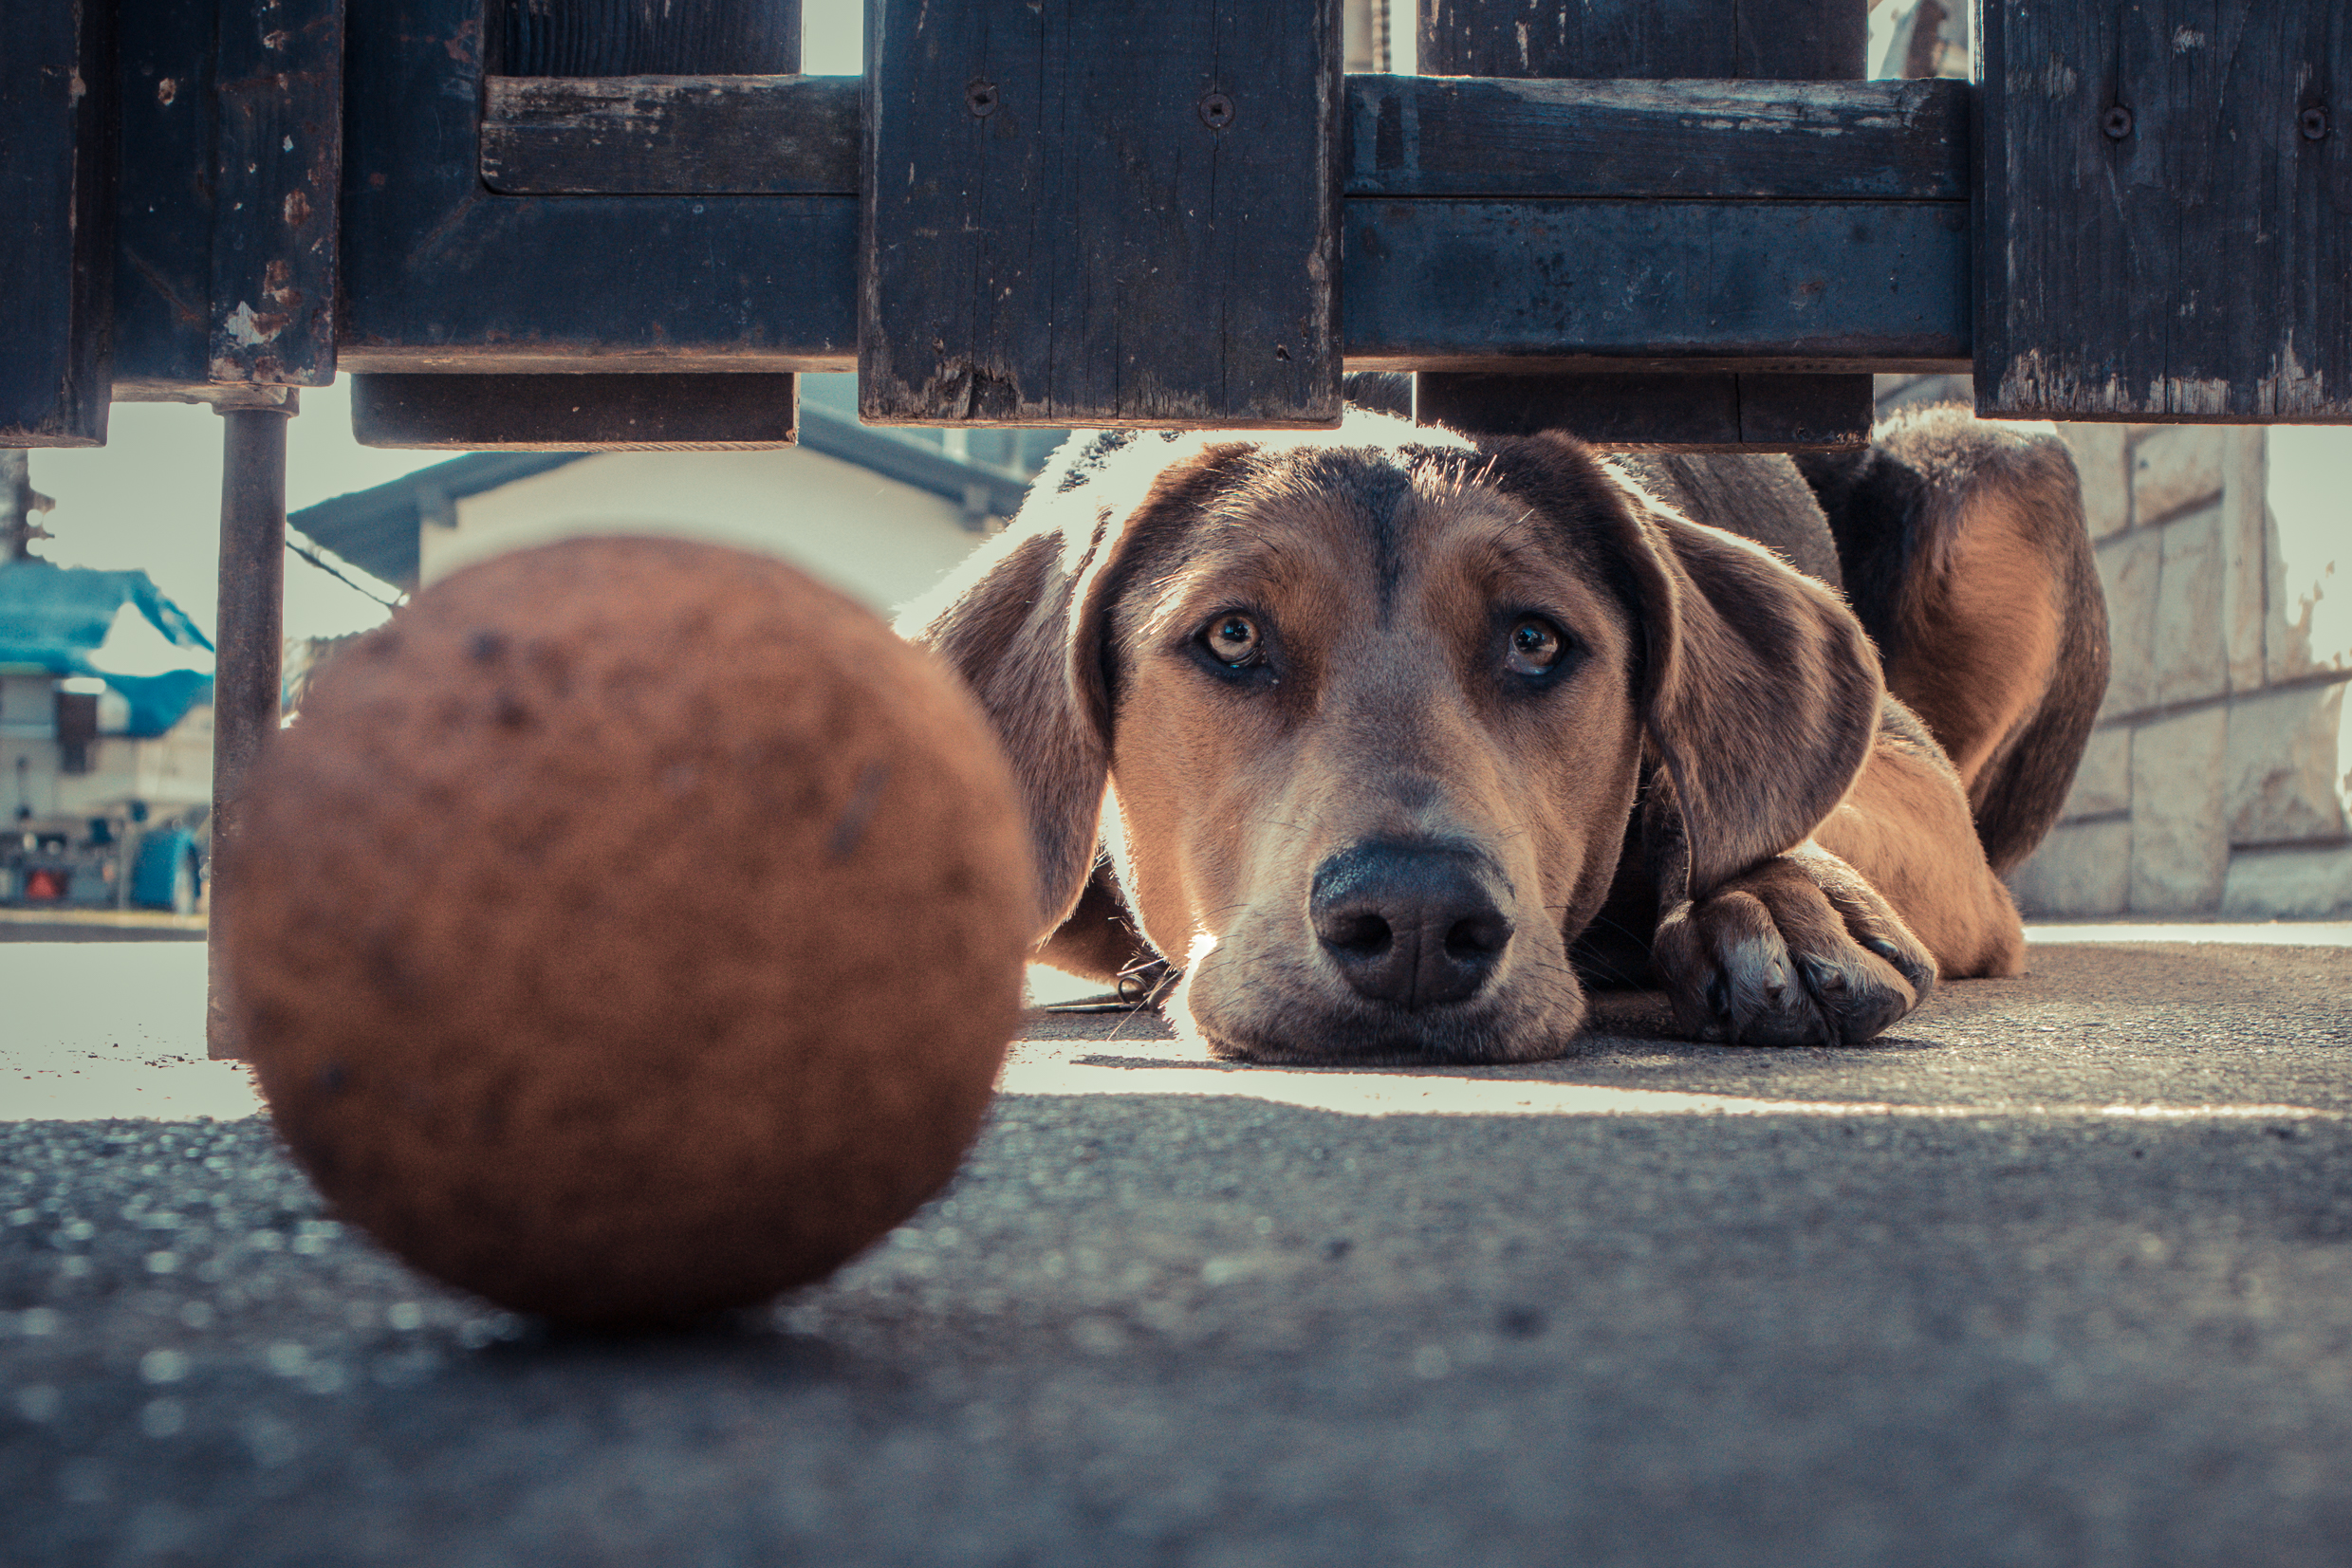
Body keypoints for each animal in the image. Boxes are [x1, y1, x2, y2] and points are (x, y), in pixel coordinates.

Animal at [902, 404, 2117, 1067]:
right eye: (1233, 636)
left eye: (1536, 640)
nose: (1415, 920)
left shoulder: (1915, 784)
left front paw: (1778, 895)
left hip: (1994, 457)